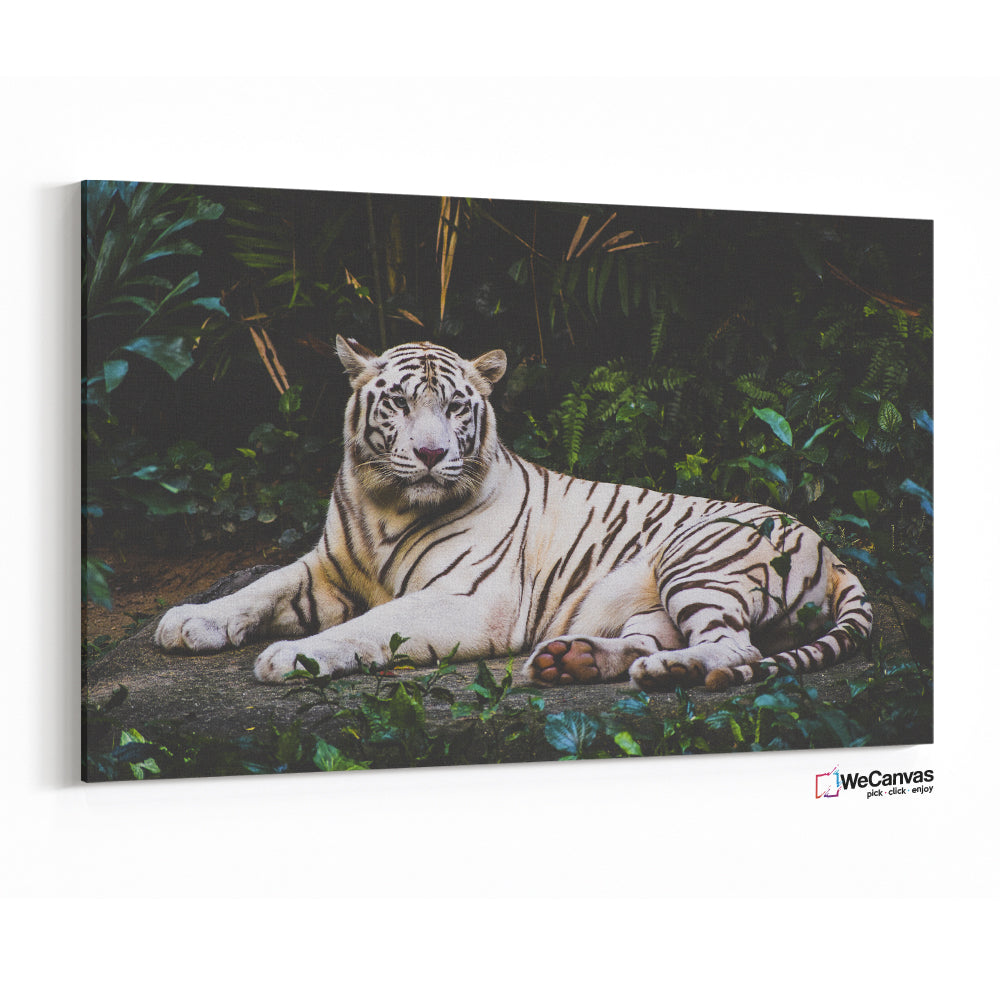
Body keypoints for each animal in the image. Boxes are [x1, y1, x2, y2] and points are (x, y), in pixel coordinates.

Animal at [154, 337, 873, 693]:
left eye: (454, 407)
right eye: (400, 404)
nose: (430, 453)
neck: (385, 504)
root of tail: (835, 553)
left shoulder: (471, 600)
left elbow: (371, 626)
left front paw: (292, 658)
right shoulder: (327, 569)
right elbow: (259, 587)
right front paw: (188, 621)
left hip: (696, 558)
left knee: (736, 648)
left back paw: (667, 674)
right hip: (653, 604)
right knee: (660, 639)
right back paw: (574, 662)